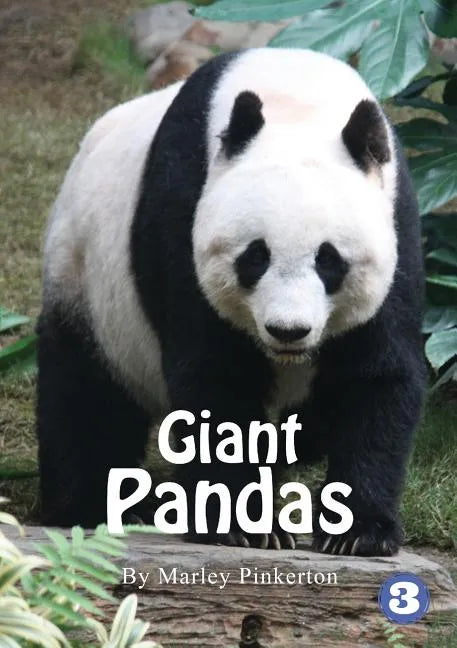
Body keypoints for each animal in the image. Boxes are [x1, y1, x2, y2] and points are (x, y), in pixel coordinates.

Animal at [37, 48, 425, 556]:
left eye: (329, 260)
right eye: (255, 257)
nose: (288, 330)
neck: (297, 99)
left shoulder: (397, 222)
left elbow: (375, 376)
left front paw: (357, 532)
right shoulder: (182, 209)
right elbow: (215, 379)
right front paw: (244, 525)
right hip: (86, 280)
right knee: (86, 395)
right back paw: (96, 506)